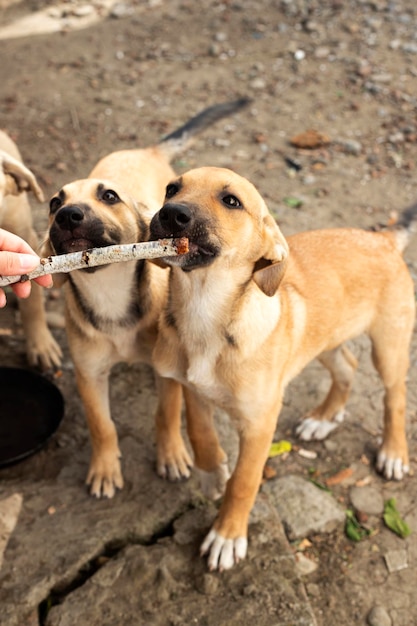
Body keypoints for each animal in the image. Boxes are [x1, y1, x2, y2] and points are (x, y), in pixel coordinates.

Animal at [44, 98, 249, 498]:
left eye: (109, 196)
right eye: (53, 202)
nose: (67, 215)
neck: (108, 291)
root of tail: (146, 150)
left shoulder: (165, 370)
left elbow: (165, 414)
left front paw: (171, 456)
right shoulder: (89, 375)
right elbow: (101, 425)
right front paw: (105, 469)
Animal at [148, 166, 414, 572]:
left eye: (231, 201)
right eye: (171, 189)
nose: (170, 213)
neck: (205, 314)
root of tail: (381, 238)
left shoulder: (260, 422)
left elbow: (244, 482)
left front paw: (227, 536)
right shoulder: (194, 390)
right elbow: (200, 435)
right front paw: (211, 474)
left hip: (389, 344)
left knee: (395, 396)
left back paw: (393, 453)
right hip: (323, 338)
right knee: (347, 367)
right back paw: (324, 418)